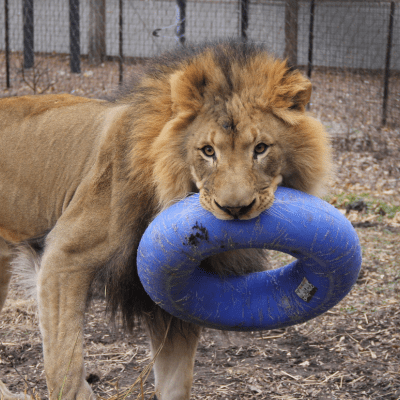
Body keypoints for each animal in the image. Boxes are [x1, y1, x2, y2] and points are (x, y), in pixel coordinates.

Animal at [0, 39, 332, 398]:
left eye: (260, 148)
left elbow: (176, 383)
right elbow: (65, 366)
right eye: (208, 151)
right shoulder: (63, 258)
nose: (234, 209)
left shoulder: (174, 302)